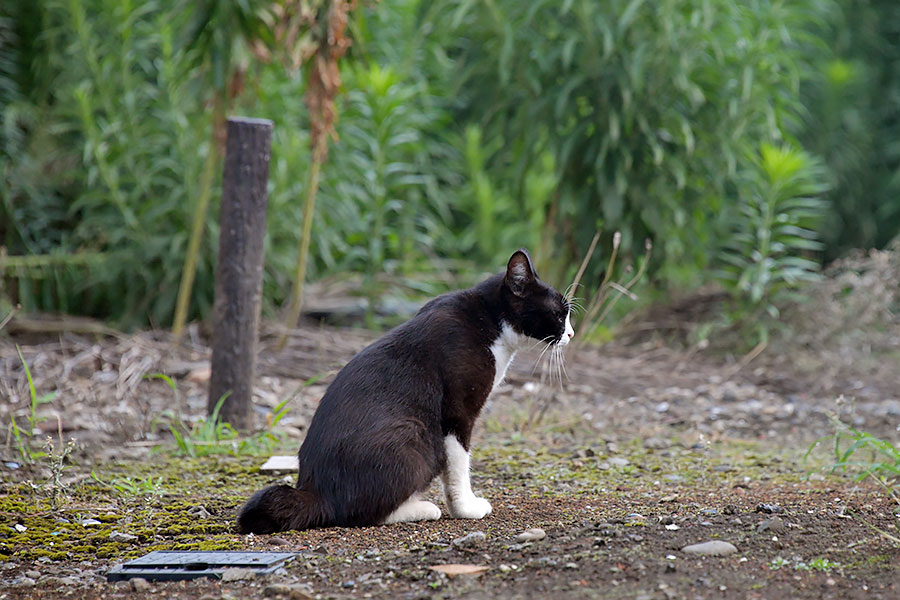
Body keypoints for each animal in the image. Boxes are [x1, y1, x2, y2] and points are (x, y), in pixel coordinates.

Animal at [236, 248, 572, 536]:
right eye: (558, 314)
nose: (570, 334)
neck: (489, 320)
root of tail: (315, 490)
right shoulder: (458, 411)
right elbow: (458, 463)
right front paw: (466, 508)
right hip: (415, 434)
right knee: (359, 513)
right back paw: (421, 508)